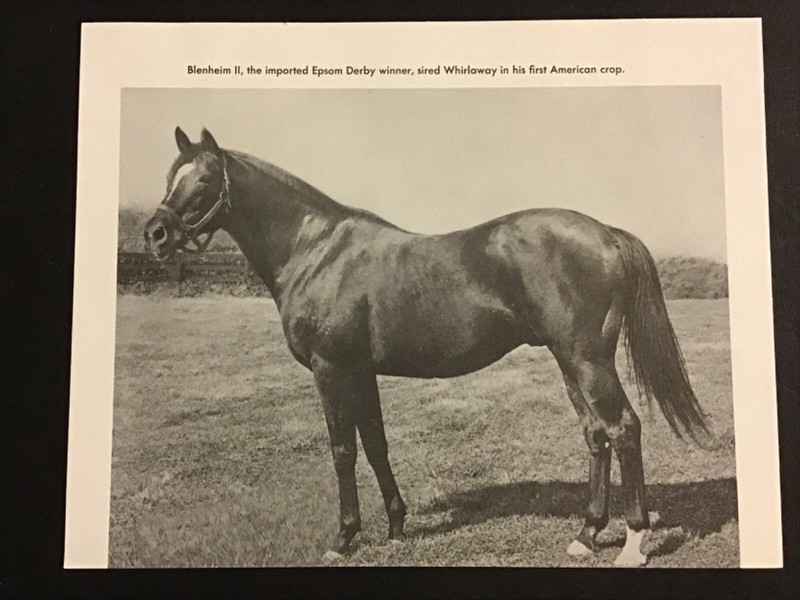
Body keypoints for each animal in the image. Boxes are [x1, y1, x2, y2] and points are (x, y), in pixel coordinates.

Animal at [144, 127, 709, 567]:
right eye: (171, 175)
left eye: (205, 178)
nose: (156, 233)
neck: (317, 252)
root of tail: (606, 234)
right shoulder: (360, 371)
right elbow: (375, 444)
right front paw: (396, 528)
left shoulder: (331, 369)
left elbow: (342, 450)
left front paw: (343, 538)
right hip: (569, 362)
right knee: (596, 434)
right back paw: (586, 534)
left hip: (588, 361)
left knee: (624, 428)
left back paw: (633, 543)